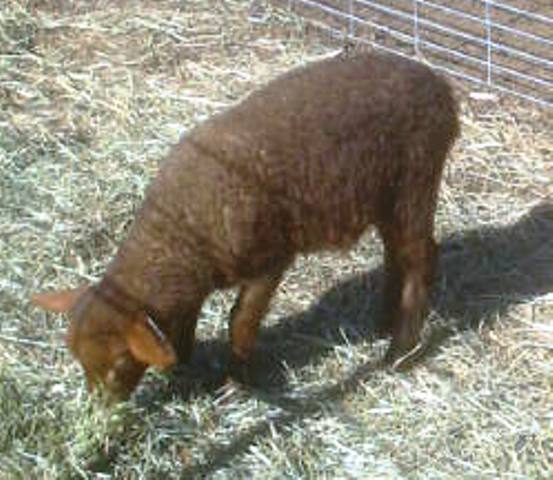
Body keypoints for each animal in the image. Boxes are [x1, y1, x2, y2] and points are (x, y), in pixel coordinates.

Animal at [32, 51, 460, 402]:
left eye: (120, 362)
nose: (103, 411)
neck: (181, 232)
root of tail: (441, 86)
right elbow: (183, 323)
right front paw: (185, 368)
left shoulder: (269, 260)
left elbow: (240, 322)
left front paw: (236, 380)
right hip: (387, 195)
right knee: (397, 253)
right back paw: (384, 322)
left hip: (416, 180)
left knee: (420, 258)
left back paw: (400, 350)